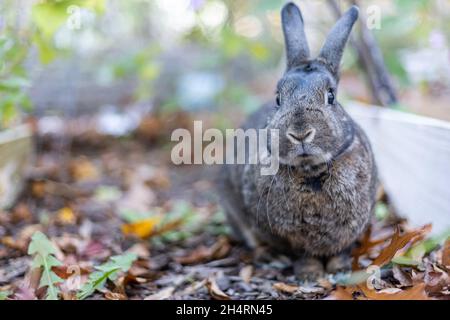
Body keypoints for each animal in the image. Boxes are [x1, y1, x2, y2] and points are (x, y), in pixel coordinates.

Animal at [217, 2, 376, 278]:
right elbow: (302, 253)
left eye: (331, 96)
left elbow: (341, 249)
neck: (311, 171)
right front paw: (310, 273)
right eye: (278, 99)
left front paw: (340, 269)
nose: (300, 133)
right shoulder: (284, 234)